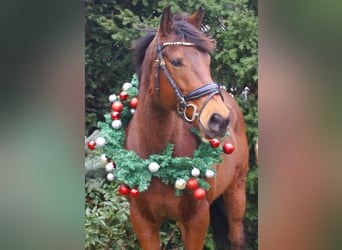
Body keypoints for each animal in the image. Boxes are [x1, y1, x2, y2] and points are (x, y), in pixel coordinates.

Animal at [125, 6, 248, 250]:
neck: (157, 157)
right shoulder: (143, 221)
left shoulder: (196, 219)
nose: (220, 119)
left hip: (237, 192)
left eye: (207, 60)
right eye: (175, 61)